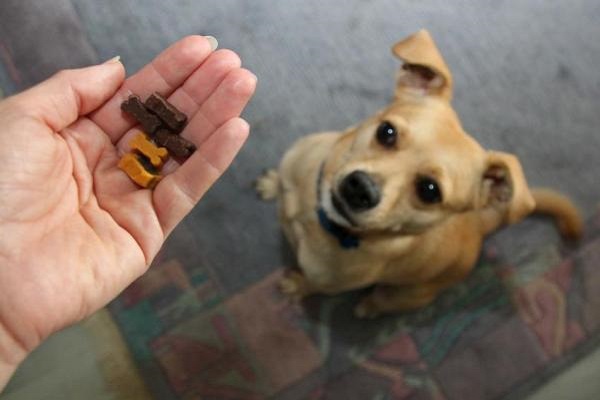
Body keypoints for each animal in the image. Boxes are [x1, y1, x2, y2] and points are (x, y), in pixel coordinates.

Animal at [254, 30, 580, 318]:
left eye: (429, 190)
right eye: (386, 132)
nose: (360, 188)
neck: (313, 216)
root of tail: (481, 226)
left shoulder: (327, 283)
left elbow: (311, 285)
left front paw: (296, 286)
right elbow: (279, 183)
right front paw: (271, 183)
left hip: (405, 294)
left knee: (382, 301)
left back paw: (368, 308)